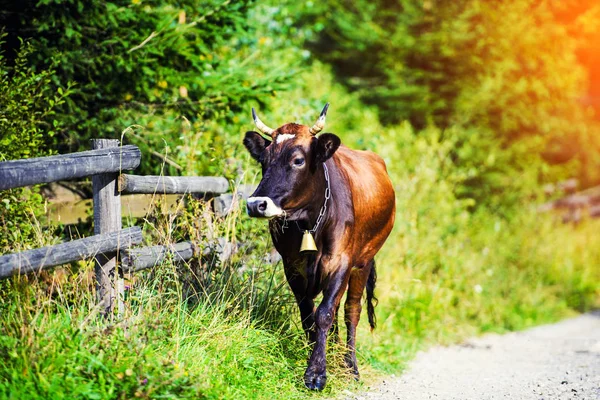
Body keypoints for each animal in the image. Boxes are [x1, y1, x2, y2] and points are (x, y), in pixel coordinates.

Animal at [241, 104, 396, 390]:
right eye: (263, 160)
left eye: (298, 160)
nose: (256, 204)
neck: (310, 223)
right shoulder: (292, 266)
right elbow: (309, 316)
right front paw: (315, 358)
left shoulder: (341, 262)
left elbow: (325, 314)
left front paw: (316, 373)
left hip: (364, 261)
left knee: (350, 311)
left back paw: (350, 365)